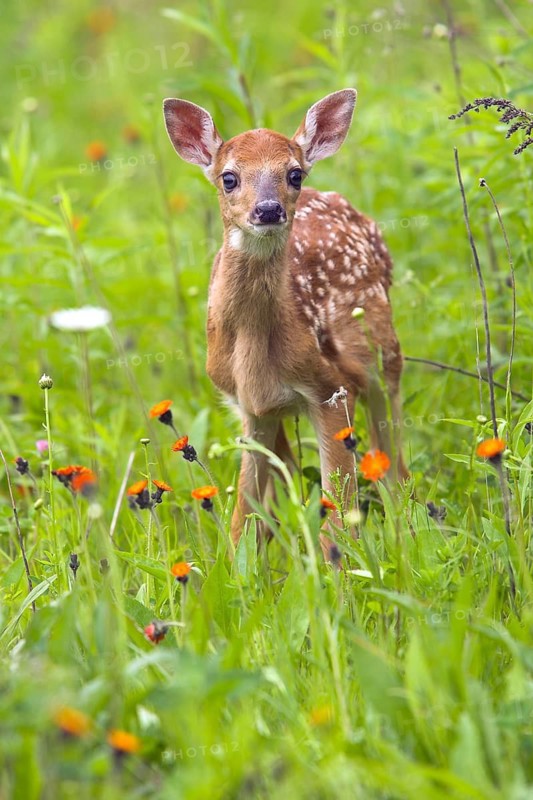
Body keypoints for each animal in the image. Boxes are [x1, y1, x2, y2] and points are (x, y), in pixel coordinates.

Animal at [163, 89, 408, 561]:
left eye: (293, 173)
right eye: (229, 178)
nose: (268, 209)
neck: (255, 348)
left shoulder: (332, 388)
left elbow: (339, 516)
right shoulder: (248, 406)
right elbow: (244, 515)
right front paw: (240, 570)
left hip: (384, 357)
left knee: (393, 461)